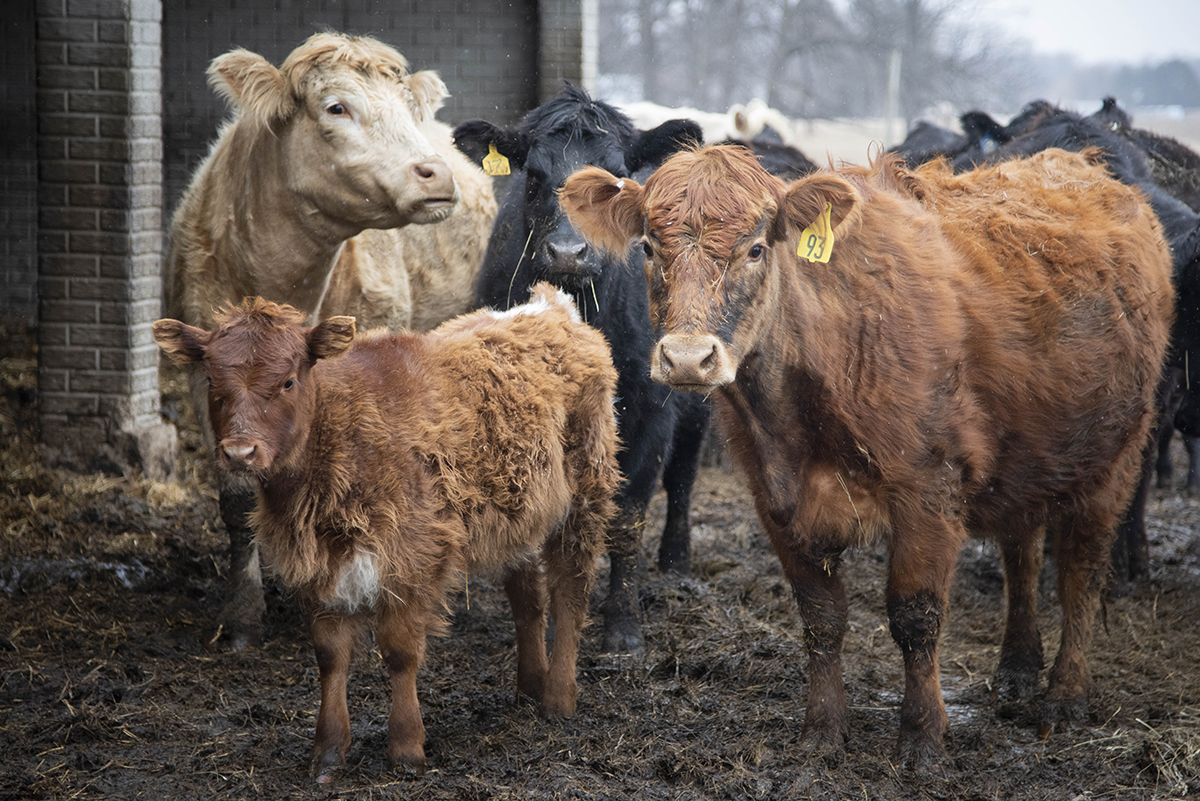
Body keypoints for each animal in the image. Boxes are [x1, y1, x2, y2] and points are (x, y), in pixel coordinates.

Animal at [152, 286, 619, 781]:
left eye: (288, 382)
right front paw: (328, 750)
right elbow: (330, 656)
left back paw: (558, 698)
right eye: (212, 382)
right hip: (521, 513)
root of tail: (550, 305)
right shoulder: (318, 566)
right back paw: (529, 687)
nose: (240, 452)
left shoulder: (413, 556)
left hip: (586, 495)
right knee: (528, 598)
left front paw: (407, 747)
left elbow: (399, 651)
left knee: (570, 591)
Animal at [162, 34, 494, 652]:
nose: (436, 174)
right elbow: (237, 497)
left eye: (408, 107)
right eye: (337, 107)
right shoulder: (202, 378)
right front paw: (243, 614)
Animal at [451, 84, 710, 652]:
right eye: (533, 175)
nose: (569, 252)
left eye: (616, 176)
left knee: (683, 473)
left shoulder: (649, 410)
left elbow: (630, 514)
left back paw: (676, 560)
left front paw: (623, 627)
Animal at [559, 143, 1171, 767]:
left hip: (1116, 457)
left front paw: (922, 740)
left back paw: (1065, 698)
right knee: (1021, 555)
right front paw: (824, 731)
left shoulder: (929, 491)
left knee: (1080, 575)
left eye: (756, 248)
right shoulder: (776, 498)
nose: (687, 358)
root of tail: (1083, 166)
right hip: (1026, 461)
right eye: (648, 247)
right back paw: (1018, 670)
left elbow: (915, 617)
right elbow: (820, 617)